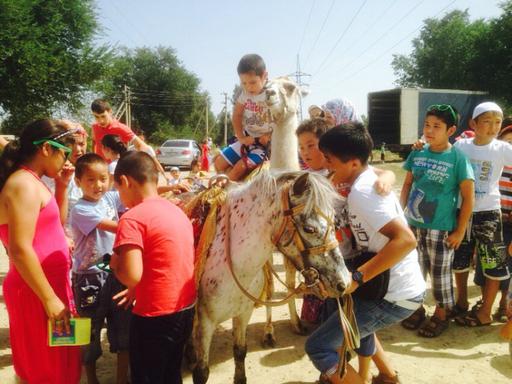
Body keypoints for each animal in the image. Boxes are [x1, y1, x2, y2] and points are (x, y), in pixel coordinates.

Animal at [190, 170, 350, 384]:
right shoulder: (206, 321)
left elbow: (240, 352)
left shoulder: (244, 313)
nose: (344, 282)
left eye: (335, 221)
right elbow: (201, 372)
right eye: (309, 228)